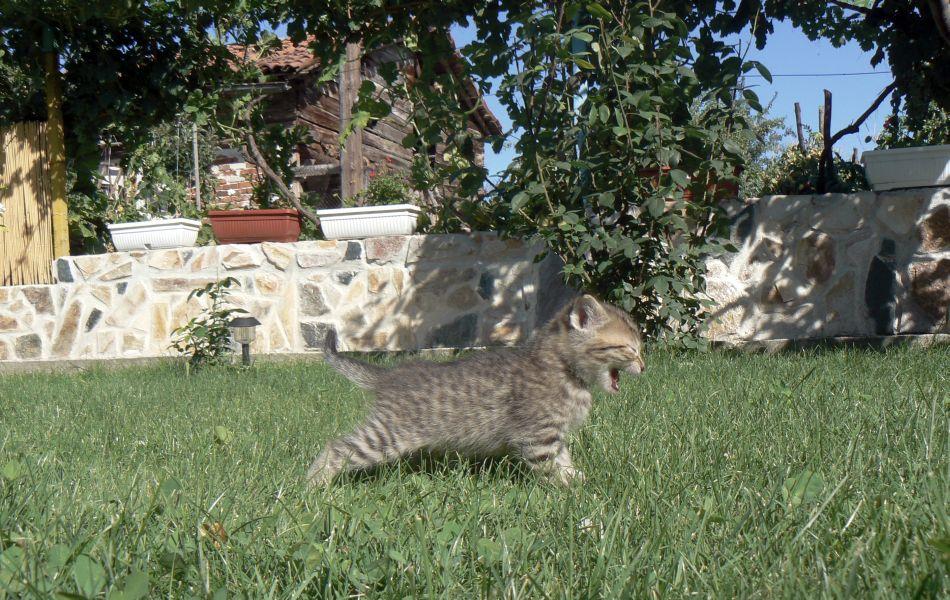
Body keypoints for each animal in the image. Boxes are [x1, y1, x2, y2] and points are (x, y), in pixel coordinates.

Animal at [307, 294, 645, 486]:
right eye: (630, 349)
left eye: (640, 350)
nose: (644, 366)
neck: (562, 368)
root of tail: (391, 376)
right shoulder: (537, 436)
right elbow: (551, 468)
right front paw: (573, 492)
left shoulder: (554, 435)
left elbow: (564, 460)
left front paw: (582, 481)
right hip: (387, 435)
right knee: (337, 448)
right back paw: (313, 487)